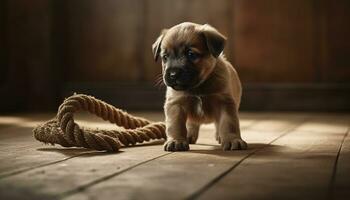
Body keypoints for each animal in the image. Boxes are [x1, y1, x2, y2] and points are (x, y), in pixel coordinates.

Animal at [151, 21, 246, 151]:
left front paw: (232, 139)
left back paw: (219, 136)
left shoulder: (225, 103)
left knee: (217, 124)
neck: (197, 87)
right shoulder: (176, 104)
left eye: (191, 54)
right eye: (165, 57)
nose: (173, 74)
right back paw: (189, 135)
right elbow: (175, 125)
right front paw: (176, 140)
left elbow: (228, 123)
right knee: (192, 124)